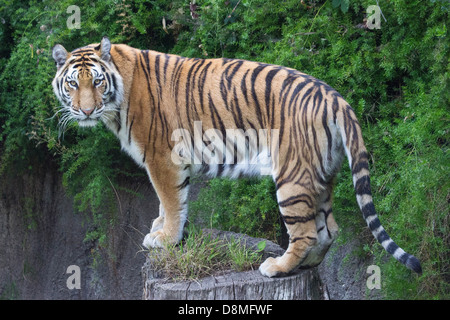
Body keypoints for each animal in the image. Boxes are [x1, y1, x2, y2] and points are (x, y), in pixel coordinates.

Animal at [52, 37, 422, 278]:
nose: (86, 110)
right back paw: (307, 265)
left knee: (307, 232)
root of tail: (335, 97)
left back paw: (277, 267)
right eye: (73, 84)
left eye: (97, 82)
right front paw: (159, 228)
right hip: (322, 174)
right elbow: (165, 202)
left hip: (292, 176)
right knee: (329, 230)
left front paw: (165, 238)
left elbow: (171, 200)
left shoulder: (162, 157)